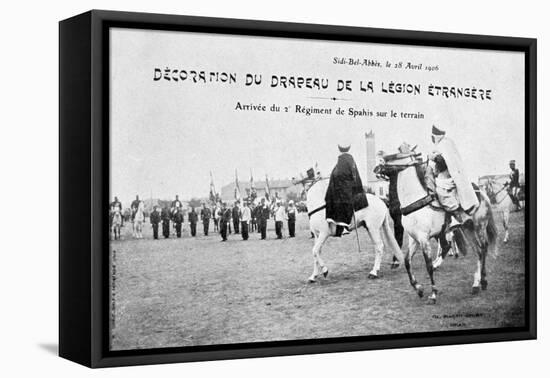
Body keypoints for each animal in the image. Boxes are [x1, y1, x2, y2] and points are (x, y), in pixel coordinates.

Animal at [380, 162, 500, 304]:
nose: (377, 168)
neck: (417, 202)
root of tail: (481, 193)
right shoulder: (414, 239)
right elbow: (407, 261)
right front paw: (419, 288)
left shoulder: (424, 239)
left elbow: (429, 266)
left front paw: (433, 294)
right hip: (467, 229)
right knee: (478, 251)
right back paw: (476, 284)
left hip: (479, 226)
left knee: (483, 248)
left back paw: (483, 281)